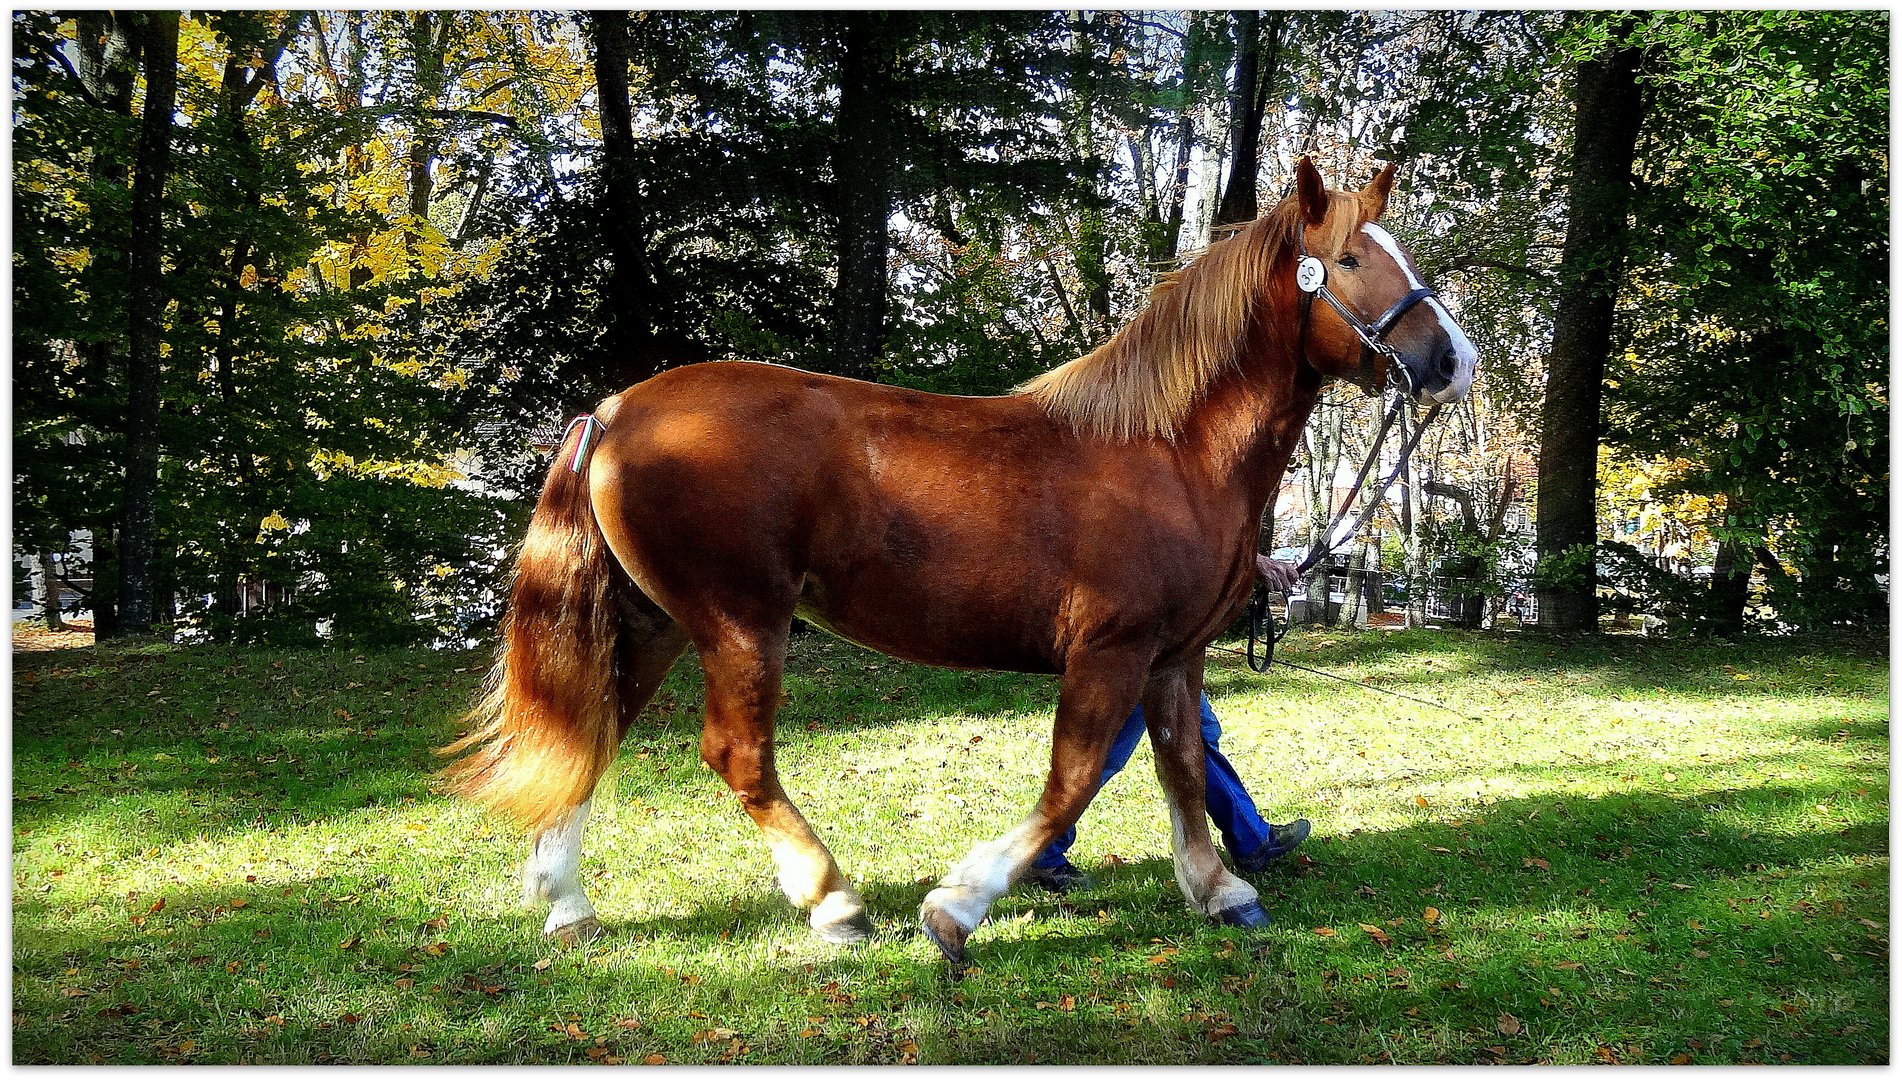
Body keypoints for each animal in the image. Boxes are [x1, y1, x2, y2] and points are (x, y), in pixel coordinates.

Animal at [441, 157, 1468, 962]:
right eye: (1350, 259)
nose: (1454, 360)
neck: (1170, 450)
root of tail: (614, 411)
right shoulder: (1112, 652)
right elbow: (1071, 781)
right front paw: (958, 906)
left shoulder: (1173, 659)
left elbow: (1182, 767)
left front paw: (1220, 891)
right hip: (740, 623)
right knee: (736, 756)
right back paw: (834, 903)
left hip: (652, 622)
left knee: (594, 733)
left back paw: (568, 905)